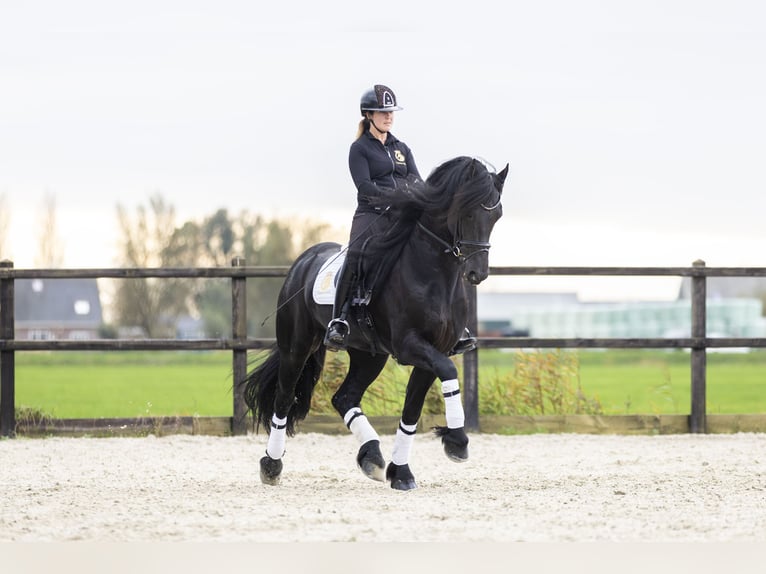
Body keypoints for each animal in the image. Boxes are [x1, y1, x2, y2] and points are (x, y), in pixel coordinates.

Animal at [246, 156, 508, 490]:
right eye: (468, 211)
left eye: (497, 216)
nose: (477, 273)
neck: (434, 275)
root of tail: (304, 260)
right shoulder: (410, 346)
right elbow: (449, 372)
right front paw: (457, 442)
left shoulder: (433, 351)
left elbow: (411, 411)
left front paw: (402, 473)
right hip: (297, 347)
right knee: (284, 398)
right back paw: (271, 466)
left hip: (369, 355)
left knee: (344, 397)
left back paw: (371, 456)